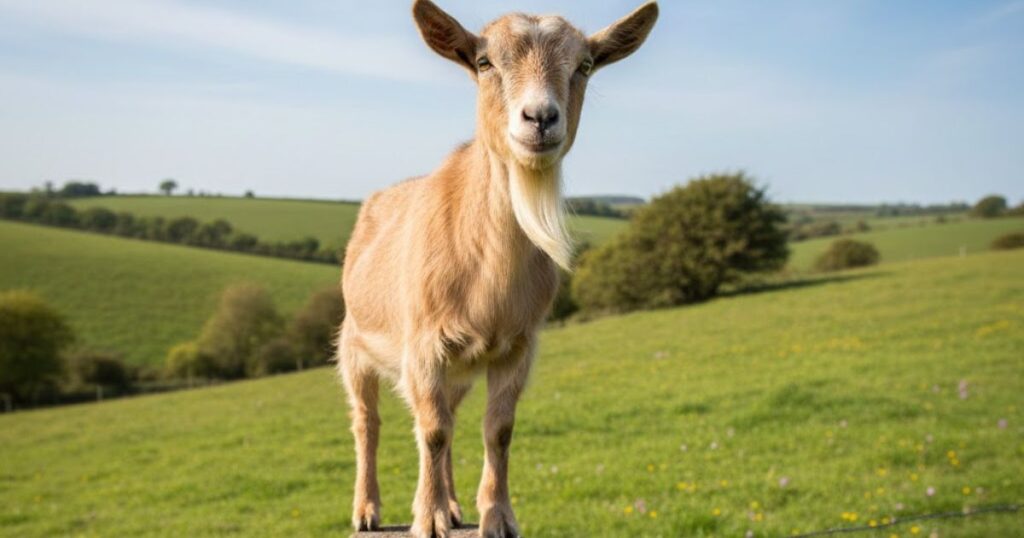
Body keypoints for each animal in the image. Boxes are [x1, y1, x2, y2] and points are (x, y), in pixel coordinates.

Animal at [337, 2, 658, 536]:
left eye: (585, 65)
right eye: (485, 62)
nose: (540, 117)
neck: (488, 278)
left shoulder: (517, 346)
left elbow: (498, 430)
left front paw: (496, 515)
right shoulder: (422, 346)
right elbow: (431, 431)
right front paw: (427, 520)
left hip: (459, 370)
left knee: (447, 419)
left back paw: (450, 505)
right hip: (354, 346)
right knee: (369, 422)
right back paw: (366, 509)